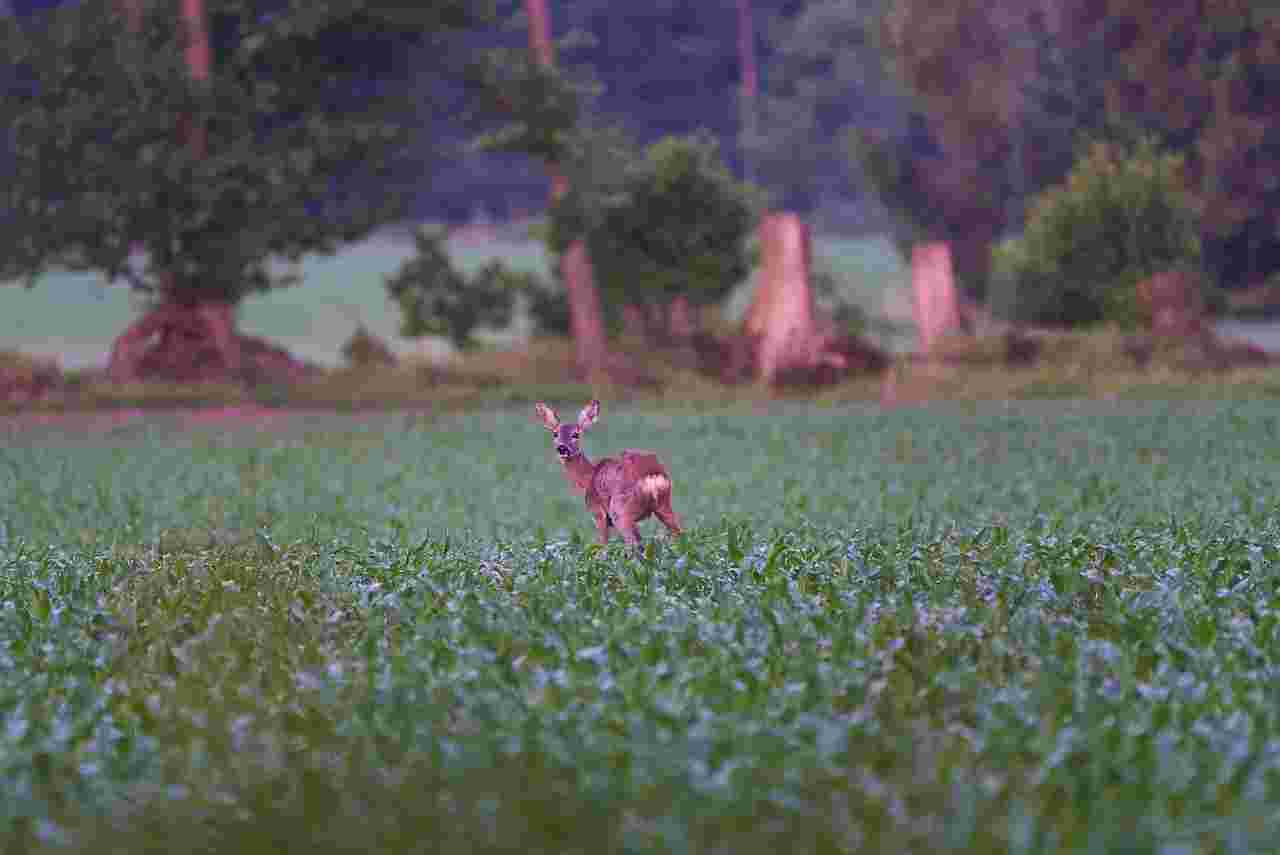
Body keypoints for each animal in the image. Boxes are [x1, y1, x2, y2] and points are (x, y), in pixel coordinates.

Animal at [532, 399, 686, 555]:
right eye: (555, 434)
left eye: (576, 434)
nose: (562, 448)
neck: (588, 478)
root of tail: (652, 476)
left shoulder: (598, 513)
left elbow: (604, 544)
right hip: (663, 504)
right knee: (679, 534)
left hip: (620, 510)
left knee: (632, 543)